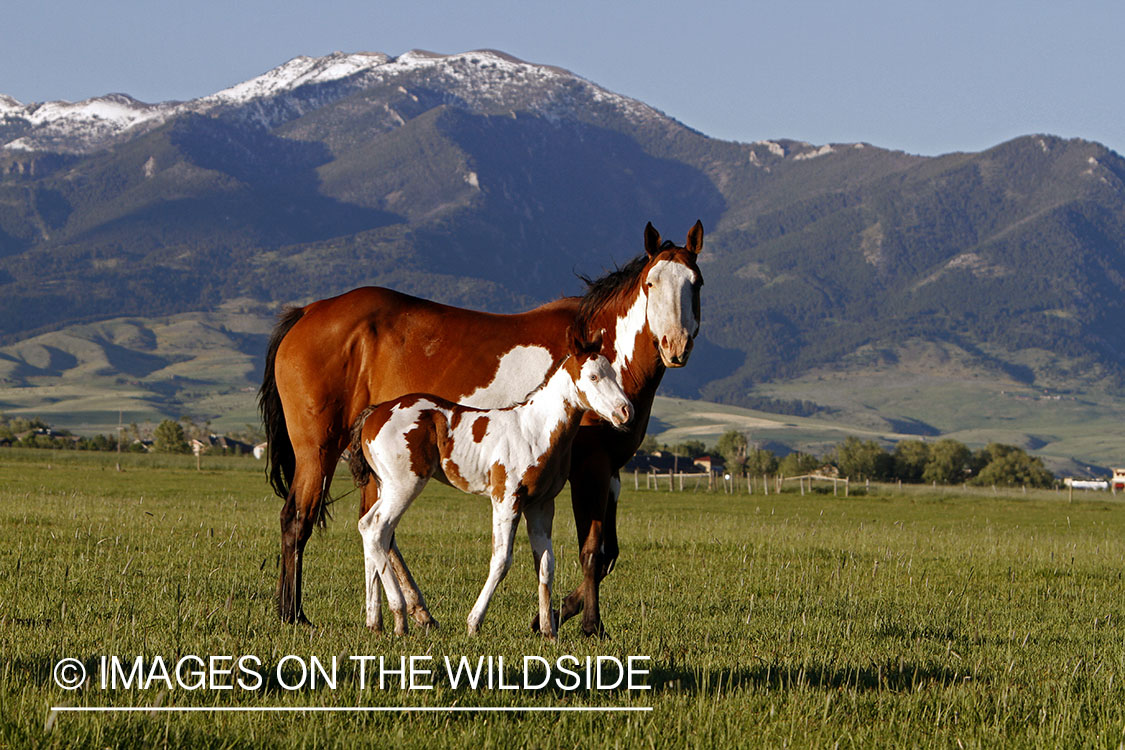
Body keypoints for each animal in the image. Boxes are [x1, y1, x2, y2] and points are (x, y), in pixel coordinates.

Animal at [347, 329, 632, 639]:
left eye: (613, 373)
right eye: (593, 376)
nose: (625, 411)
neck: (534, 431)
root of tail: (375, 413)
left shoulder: (541, 506)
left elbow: (546, 564)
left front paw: (549, 631)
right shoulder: (506, 499)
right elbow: (501, 560)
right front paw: (474, 622)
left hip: (385, 486)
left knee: (371, 530)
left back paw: (375, 621)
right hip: (404, 486)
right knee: (376, 530)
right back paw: (400, 618)